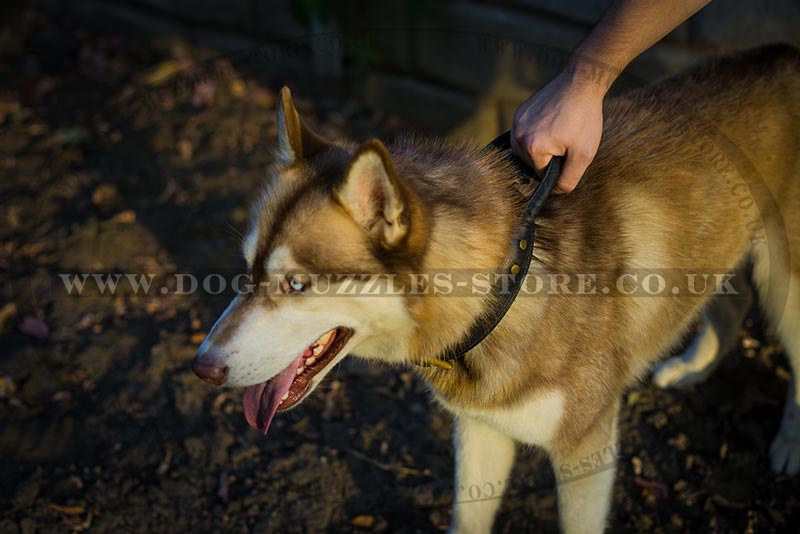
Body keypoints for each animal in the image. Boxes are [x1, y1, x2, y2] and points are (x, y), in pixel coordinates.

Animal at [192, 47, 800, 534]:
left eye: (296, 283)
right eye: (246, 269)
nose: (202, 367)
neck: (503, 293)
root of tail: (782, 53)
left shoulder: (586, 450)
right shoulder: (479, 431)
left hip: (786, 285)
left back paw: (789, 446)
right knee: (731, 303)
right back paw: (697, 366)